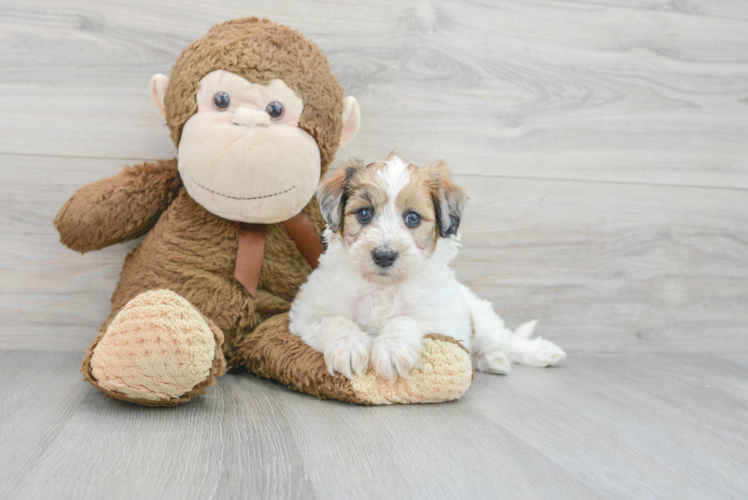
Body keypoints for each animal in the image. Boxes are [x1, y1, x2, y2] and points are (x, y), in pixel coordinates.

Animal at [290, 154, 564, 380]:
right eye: (364, 213)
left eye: (412, 218)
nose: (384, 255)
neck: (383, 287)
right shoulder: (307, 313)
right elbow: (336, 321)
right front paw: (349, 347)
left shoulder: (443, 319)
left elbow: (407, 319)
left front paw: (392, 347)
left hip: (481, 317)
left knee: (504, 340)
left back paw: (511, 355)